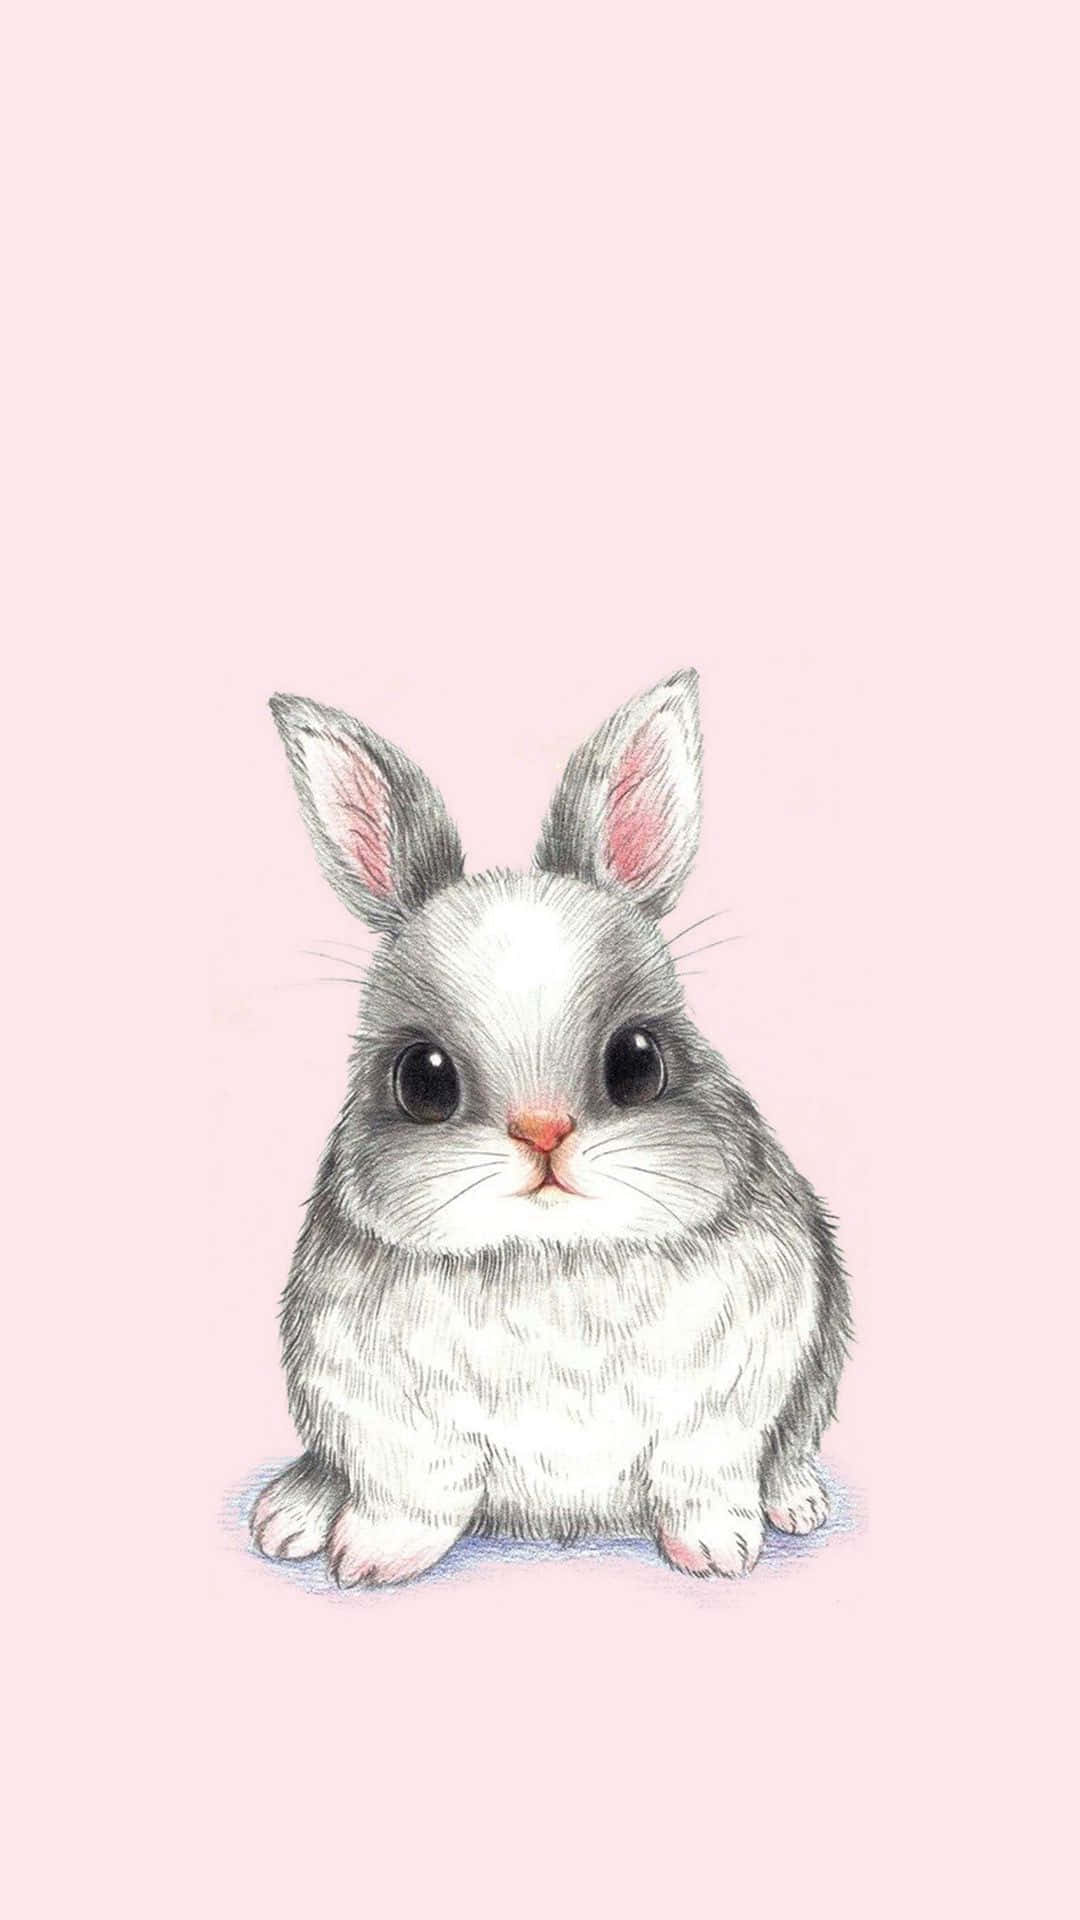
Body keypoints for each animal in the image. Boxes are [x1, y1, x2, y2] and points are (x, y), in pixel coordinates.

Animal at [251, 669, 850, 1586]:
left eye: (638, 1061)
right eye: (422, 1079)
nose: (543, 1133)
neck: (552, 1253)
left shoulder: (725, 1406)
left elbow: (700, 1478)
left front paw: (717, 1551)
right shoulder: (383, 1415)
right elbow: (411, 1492)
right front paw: (372, 1559)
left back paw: (796, 1502)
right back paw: (292, 1513)